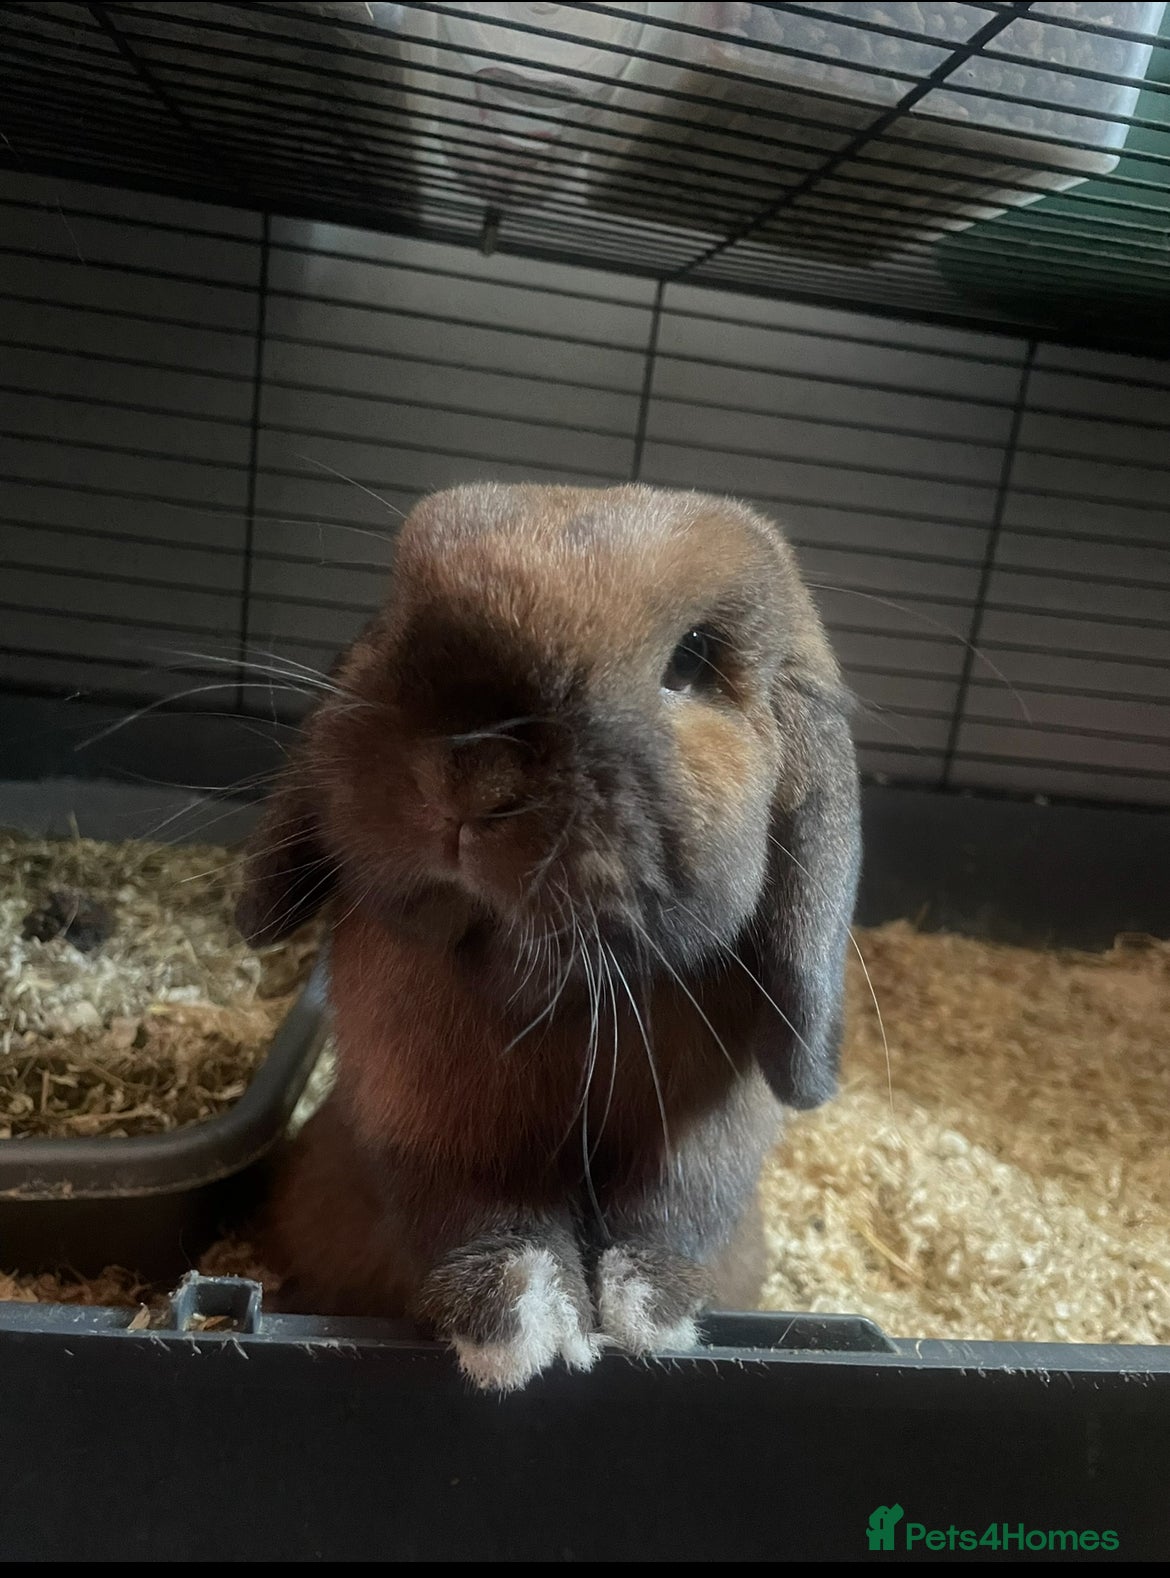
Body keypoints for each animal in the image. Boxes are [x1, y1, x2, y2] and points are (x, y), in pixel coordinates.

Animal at [237, 482, 860, 1391]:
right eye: (398, 605)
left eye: (693, 661)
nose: (471, 773)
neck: (557, 994)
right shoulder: (429, 1124)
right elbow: (481, 1217)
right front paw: (519, 1326)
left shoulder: (705, 1141)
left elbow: (668, 1215)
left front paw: (648, 1316)